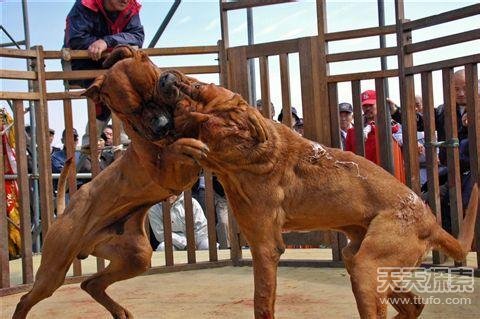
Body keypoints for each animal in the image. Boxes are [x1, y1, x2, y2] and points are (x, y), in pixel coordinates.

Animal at [12, 47, 208, 319]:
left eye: (154, 93)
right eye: (131, 111)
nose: (162, 125)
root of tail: (65, 213)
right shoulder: (168, 175)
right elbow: (175, 150)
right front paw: (187, 143)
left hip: (136, 255)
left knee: (90, 283)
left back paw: (118, 310)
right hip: (53, 271)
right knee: (25, 299)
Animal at [157, 70, 476, 319]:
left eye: (198, 88)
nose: (164, 76)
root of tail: (432, 222)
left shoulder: (265, 247)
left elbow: (262, 302)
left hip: (368, 265)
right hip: (364, 260)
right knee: (413, 304)